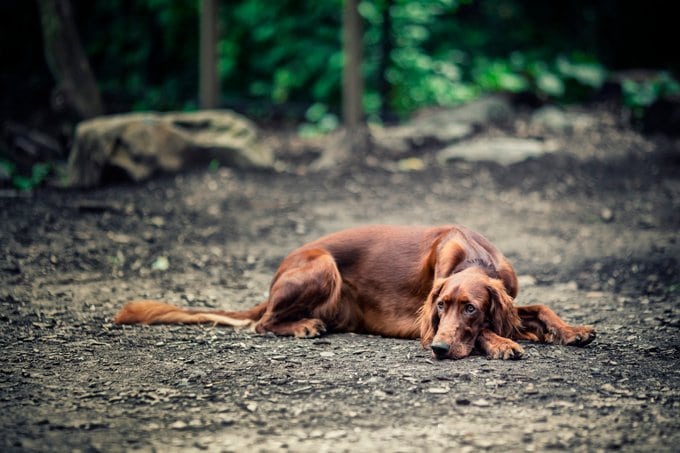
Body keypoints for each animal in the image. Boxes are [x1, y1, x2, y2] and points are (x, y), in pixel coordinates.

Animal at [114, 225, 592, 360]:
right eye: (440, 307)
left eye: (470, 308)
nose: (437, 350)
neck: (477, 257)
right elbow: (495, 333)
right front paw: (503, 343)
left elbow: (537, 307)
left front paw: (571, 330)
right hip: (323, 266)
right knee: (264, 323)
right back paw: (304, 325)